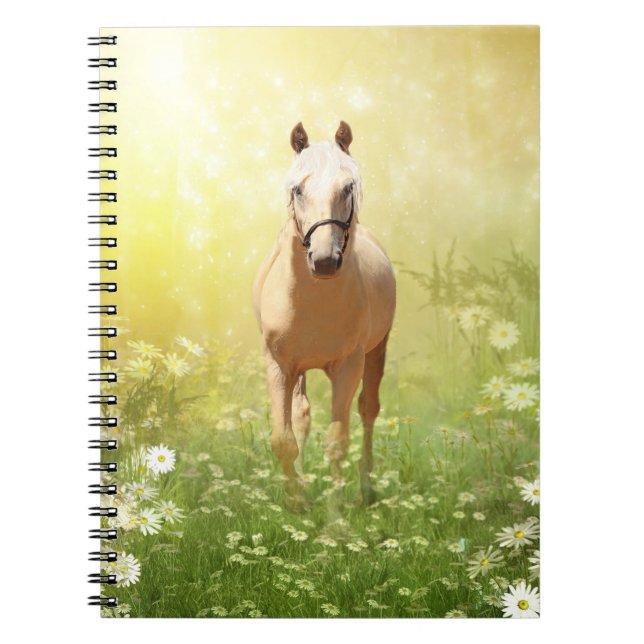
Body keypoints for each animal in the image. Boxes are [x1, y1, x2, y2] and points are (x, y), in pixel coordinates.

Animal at [253, 121, 396, 511]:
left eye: (347, 187)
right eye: (298, 189)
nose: (325, 260)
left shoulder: (349, 366)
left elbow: (336, 442)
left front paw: (335, 515)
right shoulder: (279, 366)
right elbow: (284, 438)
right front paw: (297, 504)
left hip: (377, 351)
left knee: (368, 410)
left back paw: (365, 490)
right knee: (302, 416)